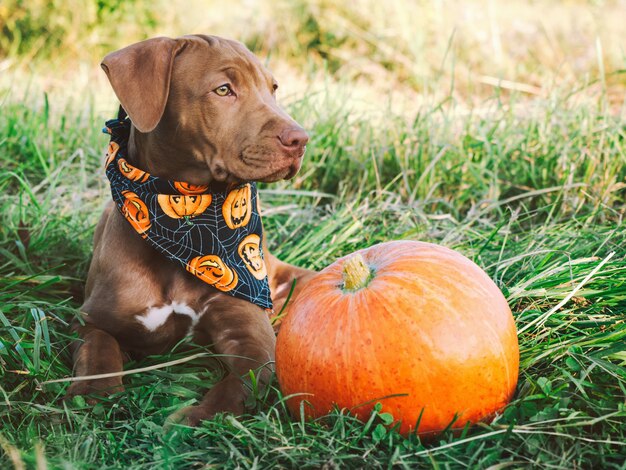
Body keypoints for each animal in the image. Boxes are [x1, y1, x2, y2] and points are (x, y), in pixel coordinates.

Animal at [65, 35, 312, 426]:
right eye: (223, 89)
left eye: (273, 89)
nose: (300, 139)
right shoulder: (91, 317)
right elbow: (98, 348)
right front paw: (95, 394)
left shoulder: (252, 338)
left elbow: (241, 384)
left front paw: (199, 417)